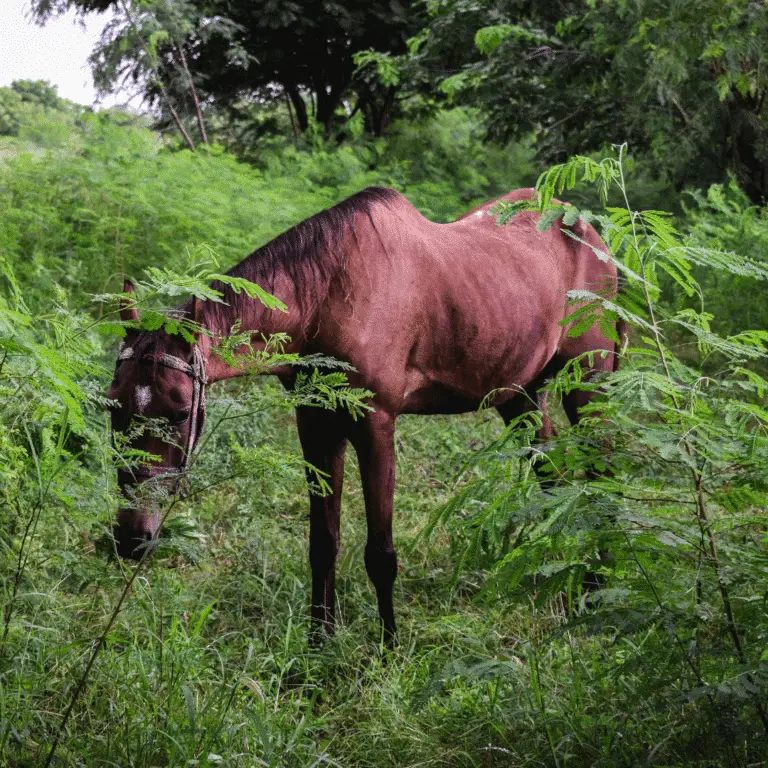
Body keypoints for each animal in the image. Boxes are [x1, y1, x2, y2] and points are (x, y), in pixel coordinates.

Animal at [108, 186, 620, 636]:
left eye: (179, 412)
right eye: (113, 406)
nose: (132, 538)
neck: (329, 298)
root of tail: (589, 233)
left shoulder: (375, 426)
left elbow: (381, 553)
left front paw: (389, 646)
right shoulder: (316, 426)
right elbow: (323, 543)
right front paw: (318, 645)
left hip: (588, 382)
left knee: (602, 467)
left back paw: (601, 578)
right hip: (521, 394)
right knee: (554, 477)